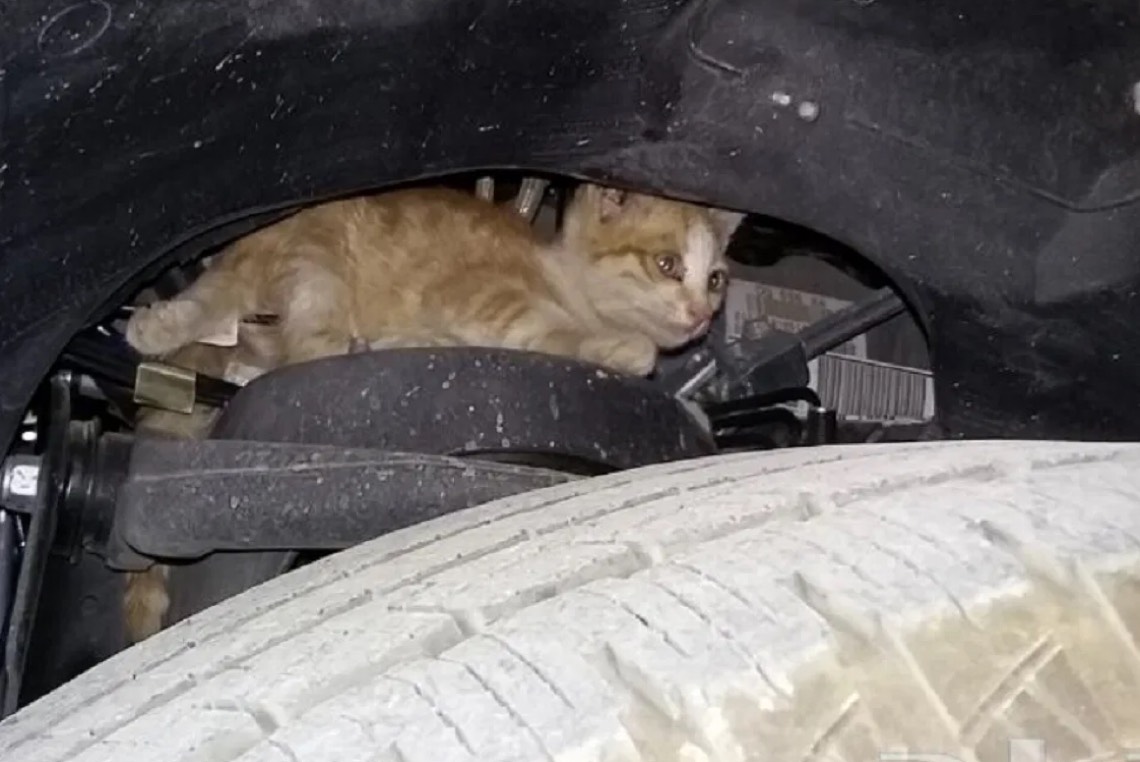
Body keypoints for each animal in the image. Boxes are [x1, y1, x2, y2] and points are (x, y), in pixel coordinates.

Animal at [124, 183, 744, 376]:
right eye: (667, 265)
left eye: (715, 280)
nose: (702, 316)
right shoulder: (484, 294)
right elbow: (548, 328)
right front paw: (622, 347)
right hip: (318, 268)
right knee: (303, 352)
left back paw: (155, 328)